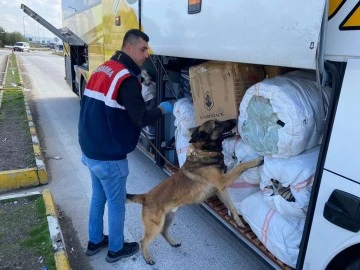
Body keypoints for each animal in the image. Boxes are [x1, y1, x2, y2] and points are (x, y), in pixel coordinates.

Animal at [128, 119, 262, 264]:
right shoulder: (223, 181)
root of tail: (145, 197)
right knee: (143, 241)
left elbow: (232, 206)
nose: (235, 120)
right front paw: (256, 160)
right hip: (155, 226)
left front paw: (238, 221)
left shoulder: (221, 190)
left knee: (163, 232)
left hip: (169, 217)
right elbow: (241, 166)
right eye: (216, 124)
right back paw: (147, 257)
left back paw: (173, 243)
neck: (205, 151)